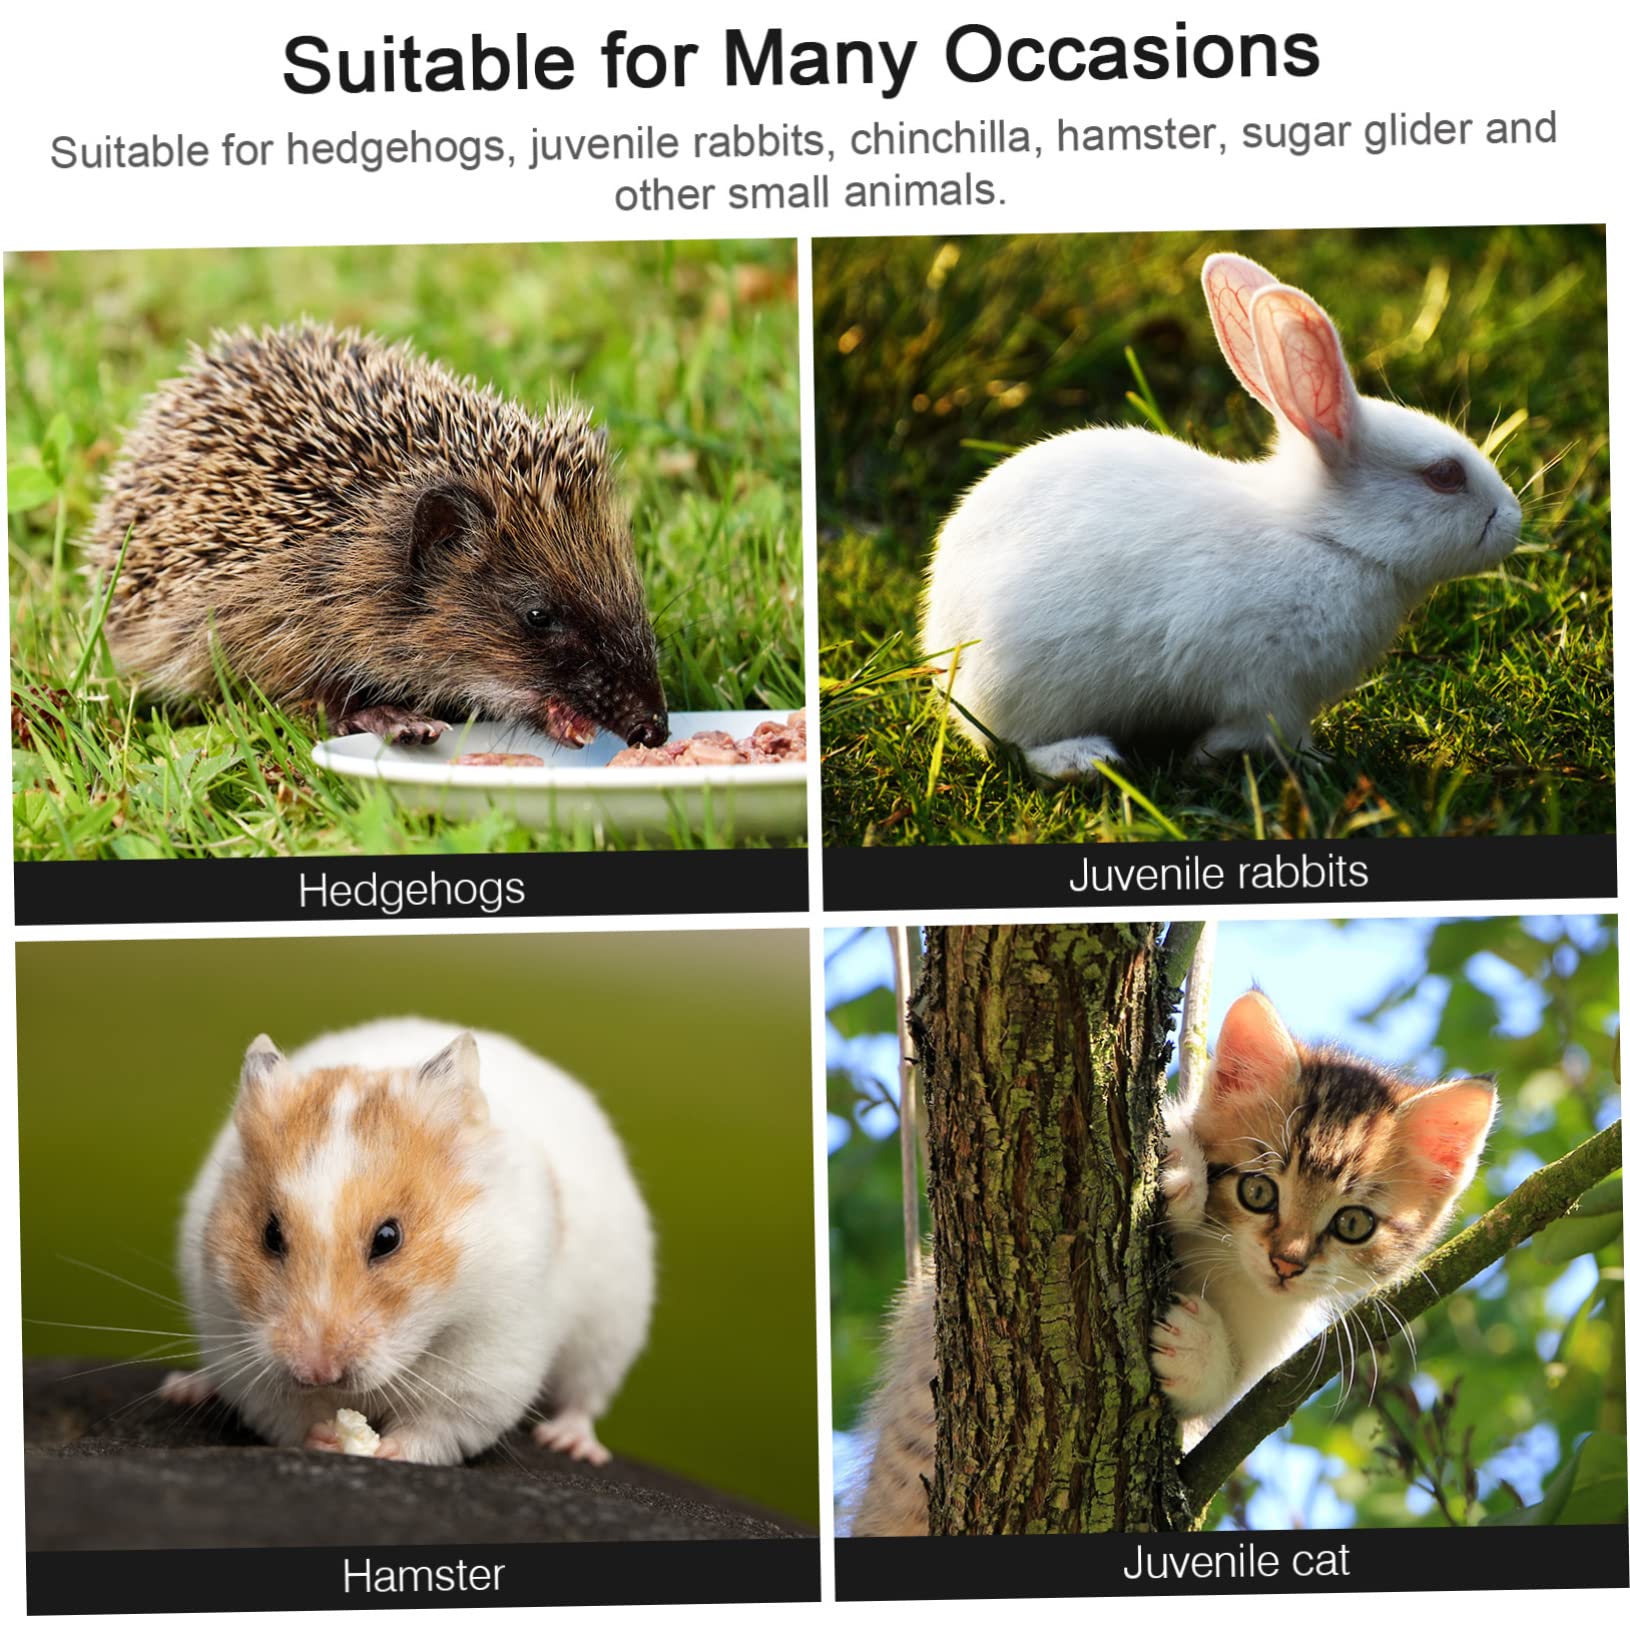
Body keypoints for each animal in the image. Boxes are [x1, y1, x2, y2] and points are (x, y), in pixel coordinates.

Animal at [159, 1017, 654, 1467]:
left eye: (388, 1238)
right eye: (270, 1235)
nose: (318, 1372)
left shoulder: (487, 1363)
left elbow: (436, 1427)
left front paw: (386, 1451)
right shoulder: (237, 1342)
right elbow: (286, 1415)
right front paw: (327, 1436)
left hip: (610, 1329)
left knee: (584, 1397)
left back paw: (571, 1444)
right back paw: (185, 1388)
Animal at [919, 252, 1524, 781]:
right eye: (1444, 475)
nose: (1513, 519)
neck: (1326, 538)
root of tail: (940, 635)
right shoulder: (1269, 690)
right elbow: (1266, 732)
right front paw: (1265, 760)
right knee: (1010, 744)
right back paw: (1084, 761)